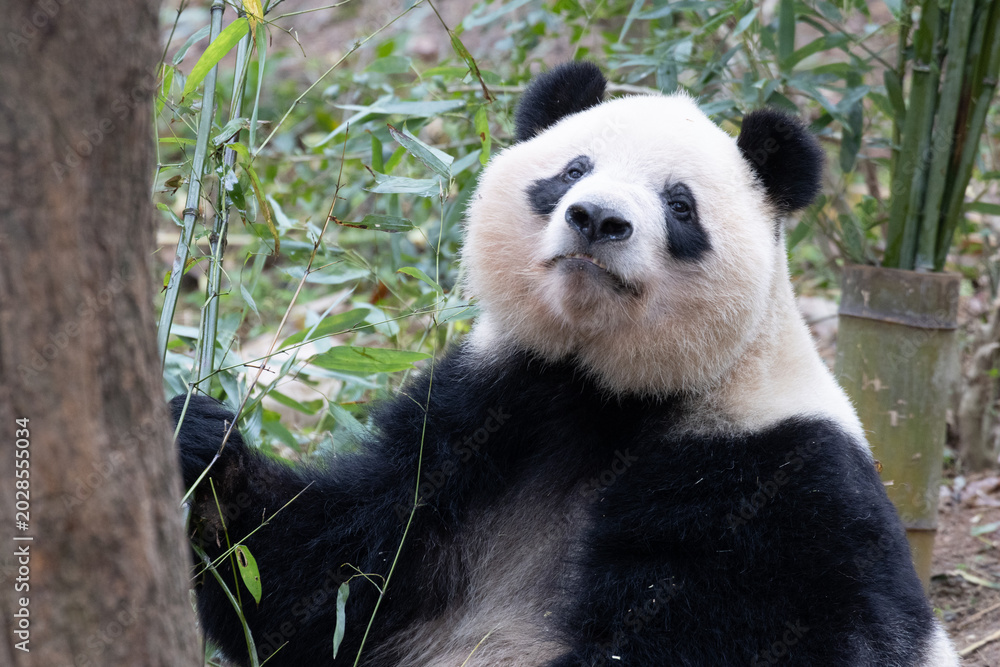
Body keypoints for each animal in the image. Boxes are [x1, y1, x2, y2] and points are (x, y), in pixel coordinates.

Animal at [173, 61, 959, 666]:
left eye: (680, 204)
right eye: (574, 169)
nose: (597, 219)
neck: (602, 390)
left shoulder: (780, 478)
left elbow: (787, 634)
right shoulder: (480, 415)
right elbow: (324, 585)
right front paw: (202, 443)